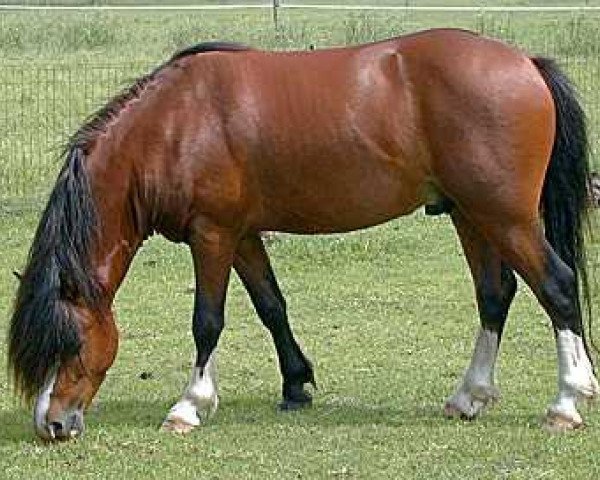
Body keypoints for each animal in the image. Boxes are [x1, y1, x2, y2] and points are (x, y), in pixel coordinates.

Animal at [5, 27, 596, 442]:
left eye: (69, 343)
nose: (51, 425)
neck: (173, 126)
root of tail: (527, 63)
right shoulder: (242, 235)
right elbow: (272, 306)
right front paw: (295, 385)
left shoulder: (211, 235)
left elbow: (207, 321)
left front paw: (189, 406)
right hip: (468, 214)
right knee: (495, 294)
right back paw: (468, 397)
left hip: (505, 216)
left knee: (558, 286)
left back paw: (566, 403)